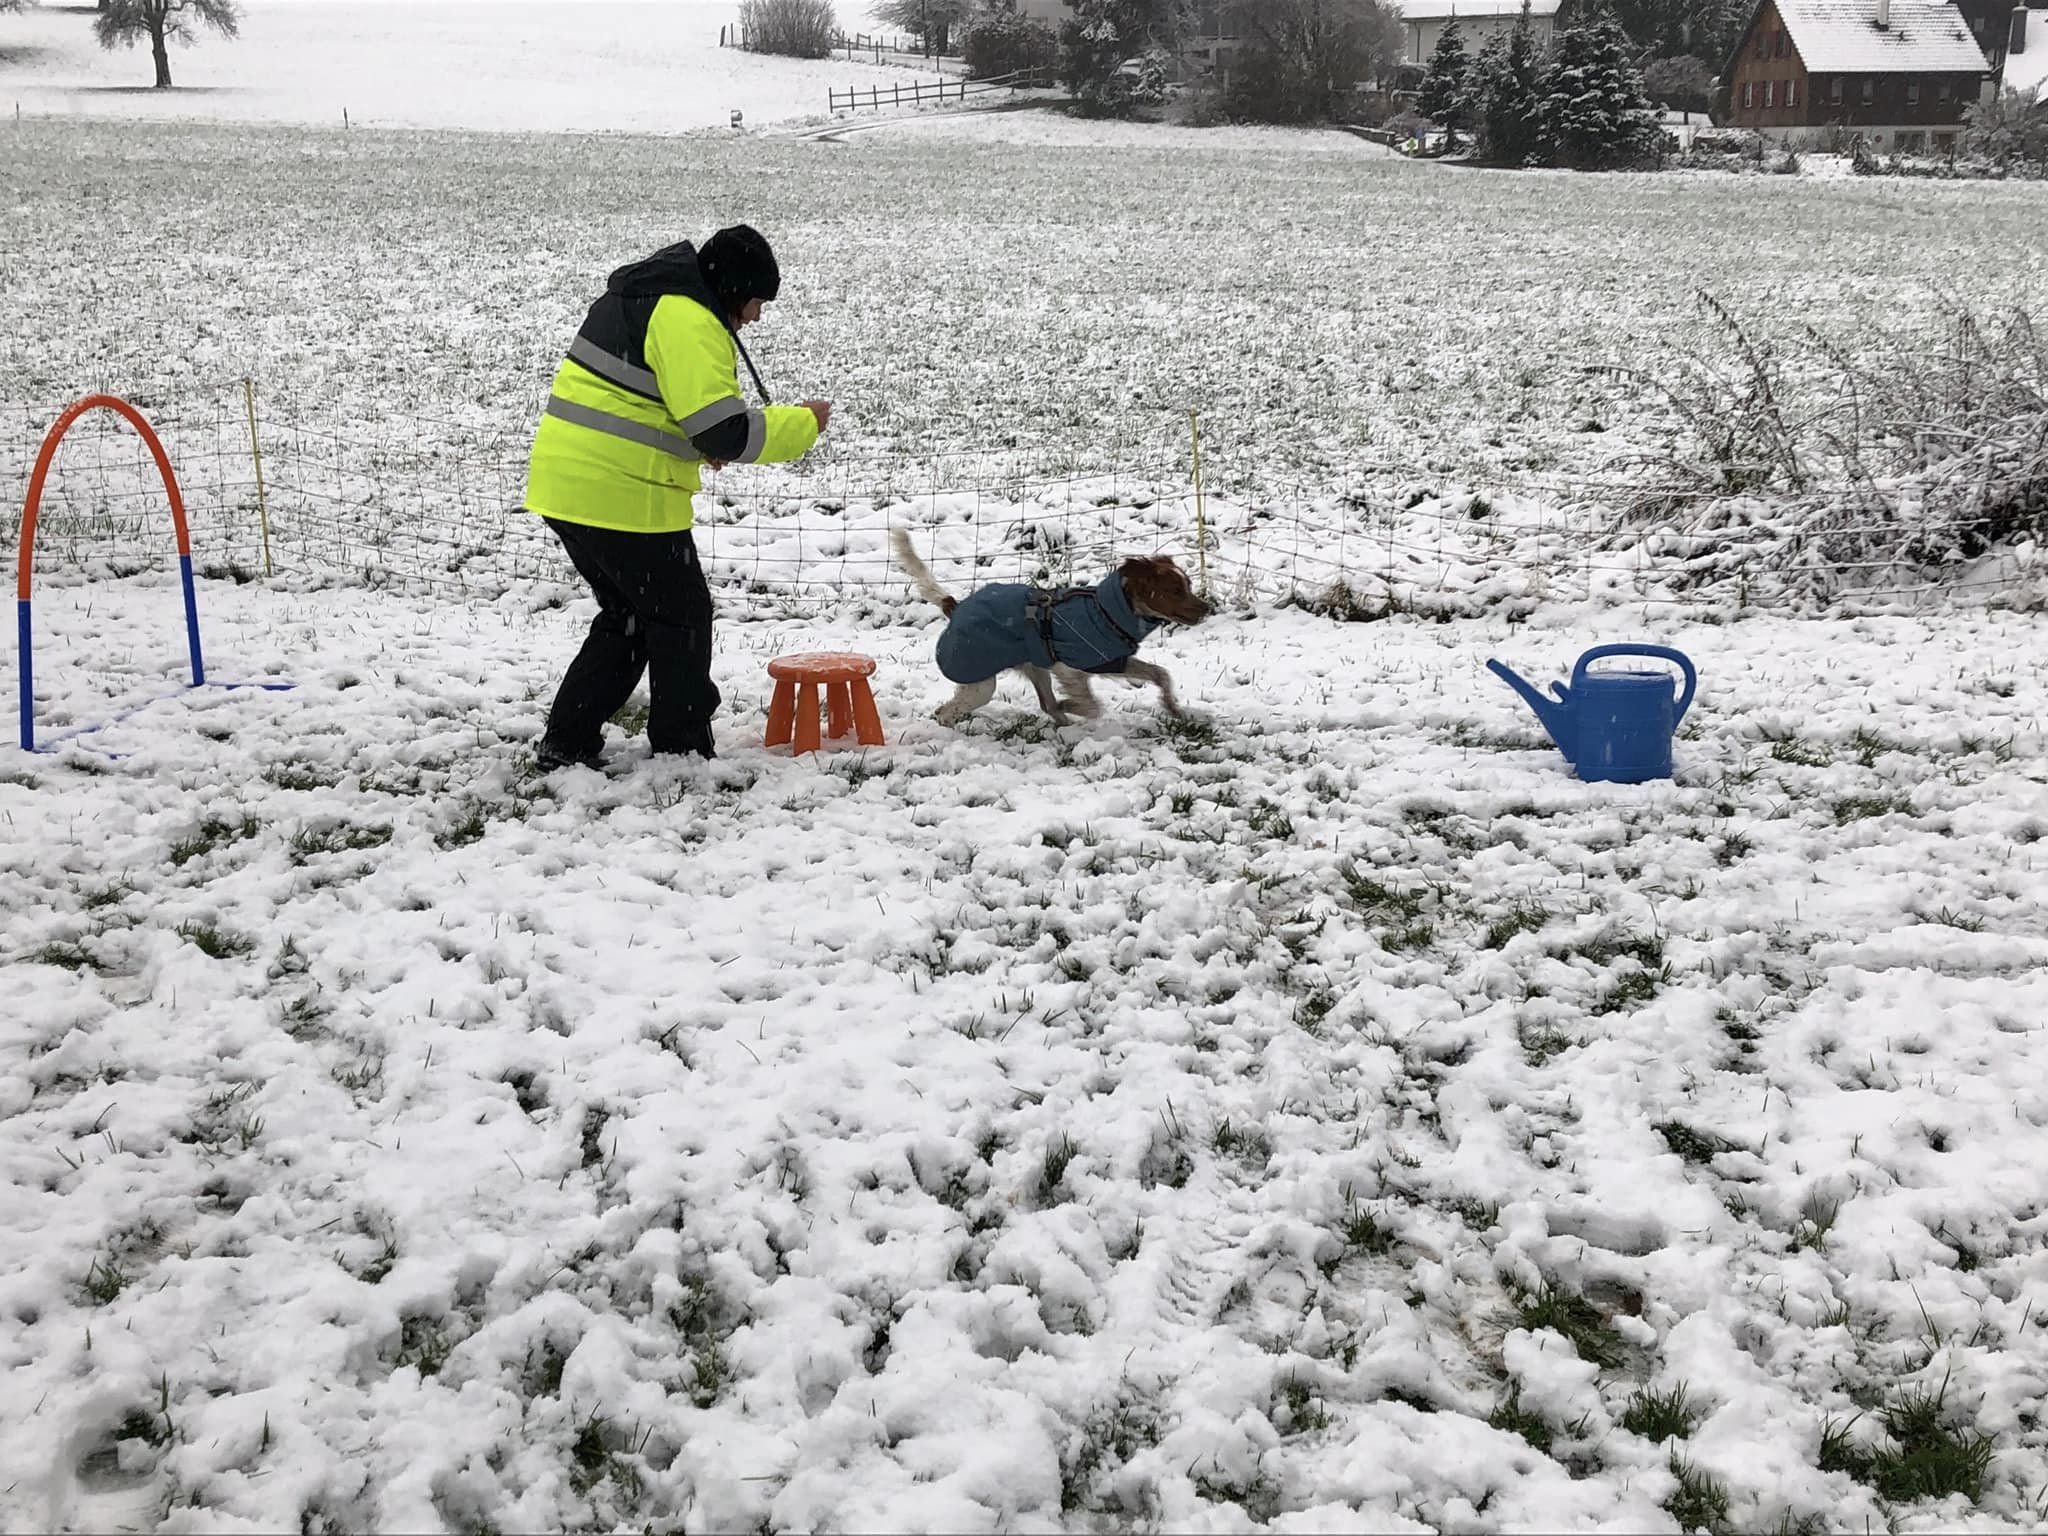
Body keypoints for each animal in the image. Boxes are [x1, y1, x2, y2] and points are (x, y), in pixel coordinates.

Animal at [888, 528, 1204, 729]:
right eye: (1175, 590)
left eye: (1187, 585)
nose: (1207, 608)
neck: (1106, 612)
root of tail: (955, 606)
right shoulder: (1070, 668)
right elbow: (1092, 705)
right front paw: (1069, 706)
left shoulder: (1111, 660)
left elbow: (1160, 674)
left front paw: (1174, 709)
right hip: (981, 683)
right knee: (946, 713)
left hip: (1034, 669)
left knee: (1042, 704)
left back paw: (1063, 728)